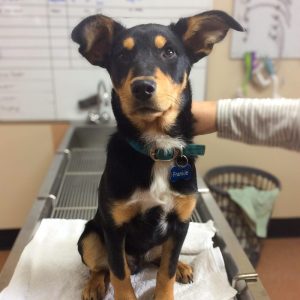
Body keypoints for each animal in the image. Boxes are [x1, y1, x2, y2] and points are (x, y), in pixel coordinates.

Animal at [72, 9, 244, 300]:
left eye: (170, 52)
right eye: (122, 55)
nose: (142, 87)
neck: (157, 146)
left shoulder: (180, 223)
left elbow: (167, 270)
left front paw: (168, 287)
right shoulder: (114, 228)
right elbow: (120, 276)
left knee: (158, 259)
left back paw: (184, 266)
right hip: (90, 235)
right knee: (101, 267)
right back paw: (94, 285)